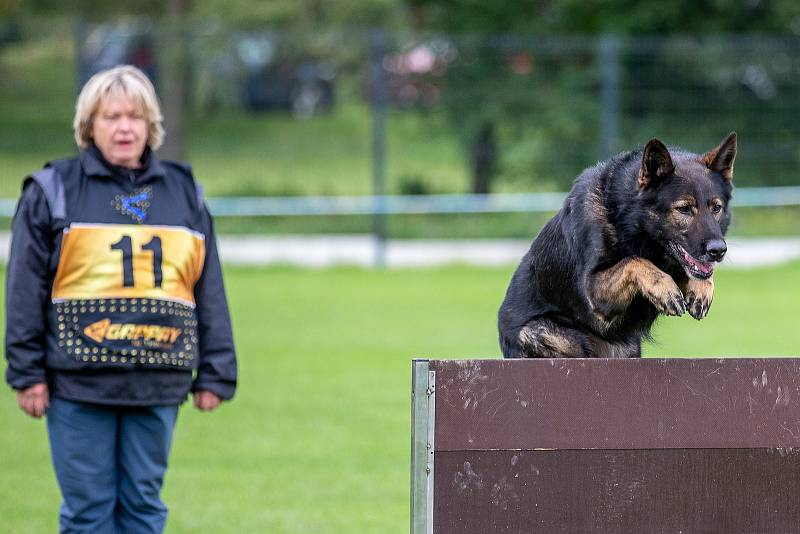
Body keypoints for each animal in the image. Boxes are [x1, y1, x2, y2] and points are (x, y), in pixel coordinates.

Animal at [500, 134, 736, 360]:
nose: (718, 250)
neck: (627, 220)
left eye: (716, 208)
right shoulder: (594, 289)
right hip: (543, 334)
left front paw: (701, 288)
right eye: (684, 209)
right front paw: (665, 286)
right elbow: (634, 261)